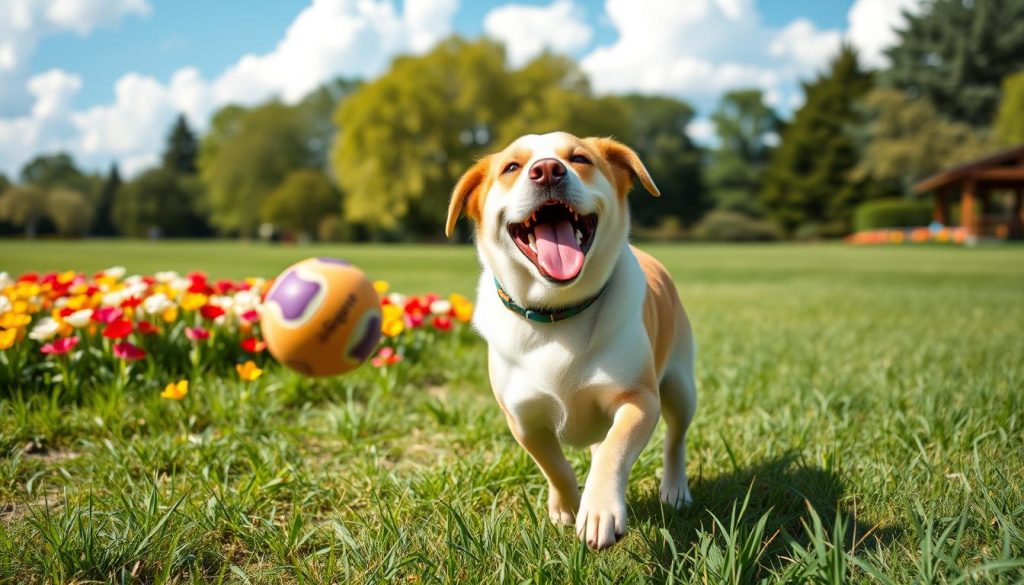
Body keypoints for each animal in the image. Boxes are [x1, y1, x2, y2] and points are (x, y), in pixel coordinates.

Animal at [446, 131, 696, 549]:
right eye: (511, 167)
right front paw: (565, 507)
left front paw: (599, 510)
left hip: (680, 384)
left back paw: (675, 489)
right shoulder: (524, 420)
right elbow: (556, 467)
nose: (548, 169)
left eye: (579, 158)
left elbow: (615, 447)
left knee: (674, 438)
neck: (558, 313)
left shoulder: (639, 399)